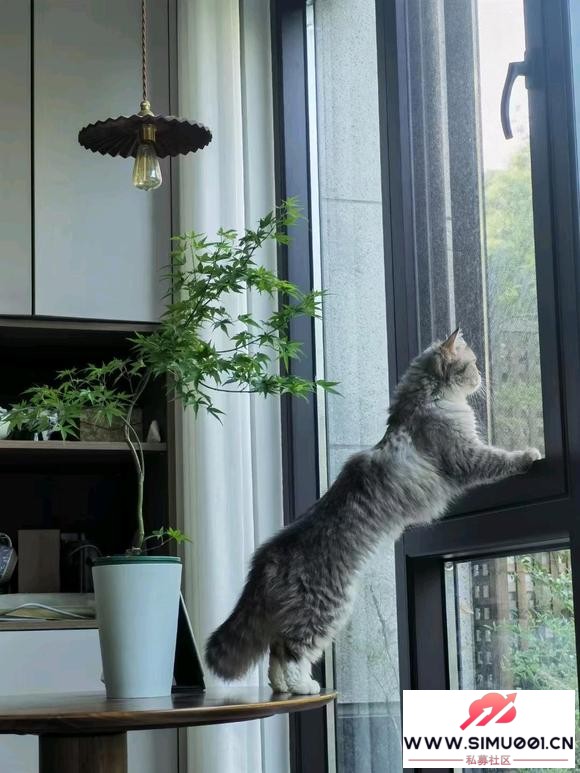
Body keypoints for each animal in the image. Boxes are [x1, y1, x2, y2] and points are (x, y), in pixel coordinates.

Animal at [205, 329, 541, 694]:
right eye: (473, 364)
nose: (481, 377)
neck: (425, 401)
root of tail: (269, 555)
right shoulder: (465, 453)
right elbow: (499, 459)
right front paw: (530, 454)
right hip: (325, 609)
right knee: (293, 650)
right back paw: (304, 686)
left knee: (276, 652)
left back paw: (285, 688)